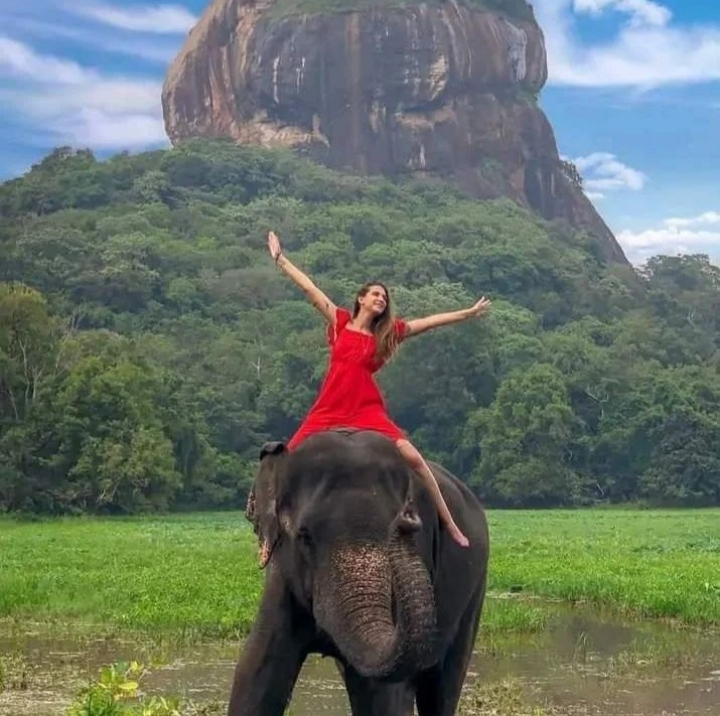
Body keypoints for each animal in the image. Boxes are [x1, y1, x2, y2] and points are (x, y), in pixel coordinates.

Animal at [229, 429, 490, 716]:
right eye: (304, 537)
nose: (407, 519)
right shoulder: (281, 576)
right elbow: (255, 675)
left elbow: (381, 696)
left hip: (475, 588)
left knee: (442, 686)